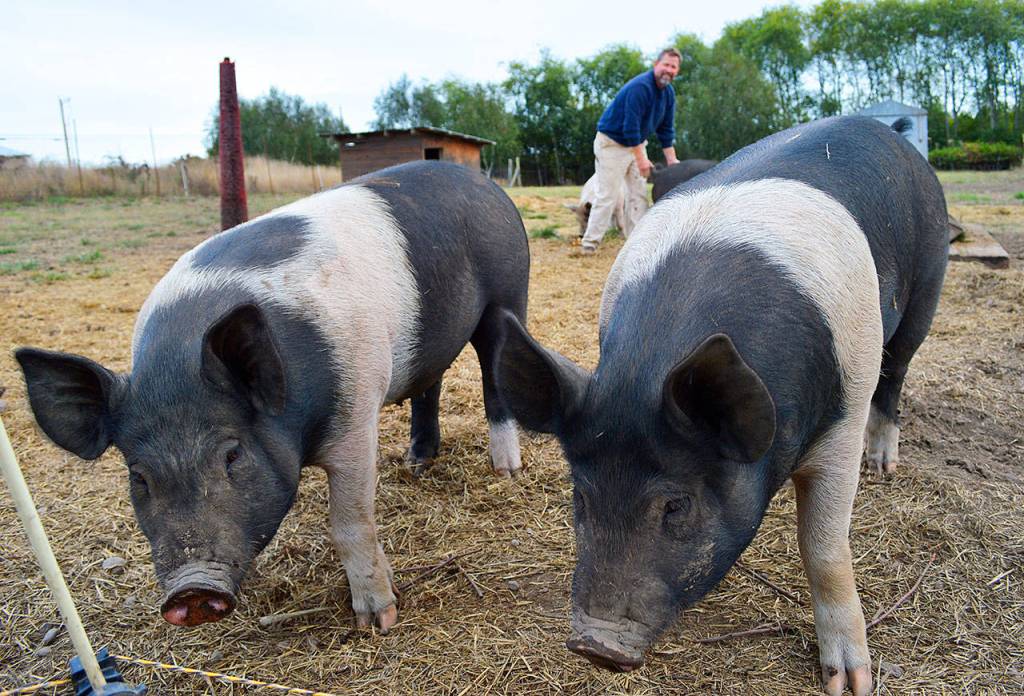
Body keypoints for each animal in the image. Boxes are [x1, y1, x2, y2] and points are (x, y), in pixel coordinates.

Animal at [16, 160, 529, 632]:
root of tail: (485, 182)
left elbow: (350, 523)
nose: (192, 589)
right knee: (431, 381)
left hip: (508, 294)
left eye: (233, 454)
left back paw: (505, 471)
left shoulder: (357, 413)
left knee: (497, 374)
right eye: (138, 475)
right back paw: (416, 463)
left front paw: (379, 621)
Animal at [495, 116, 948, 695]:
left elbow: (823, 546)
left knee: (897, 373)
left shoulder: (843, 416)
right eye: (580, 496)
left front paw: (850, 682)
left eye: (676, 505)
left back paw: (883, 466)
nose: (596, 646)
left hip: (925, 289)